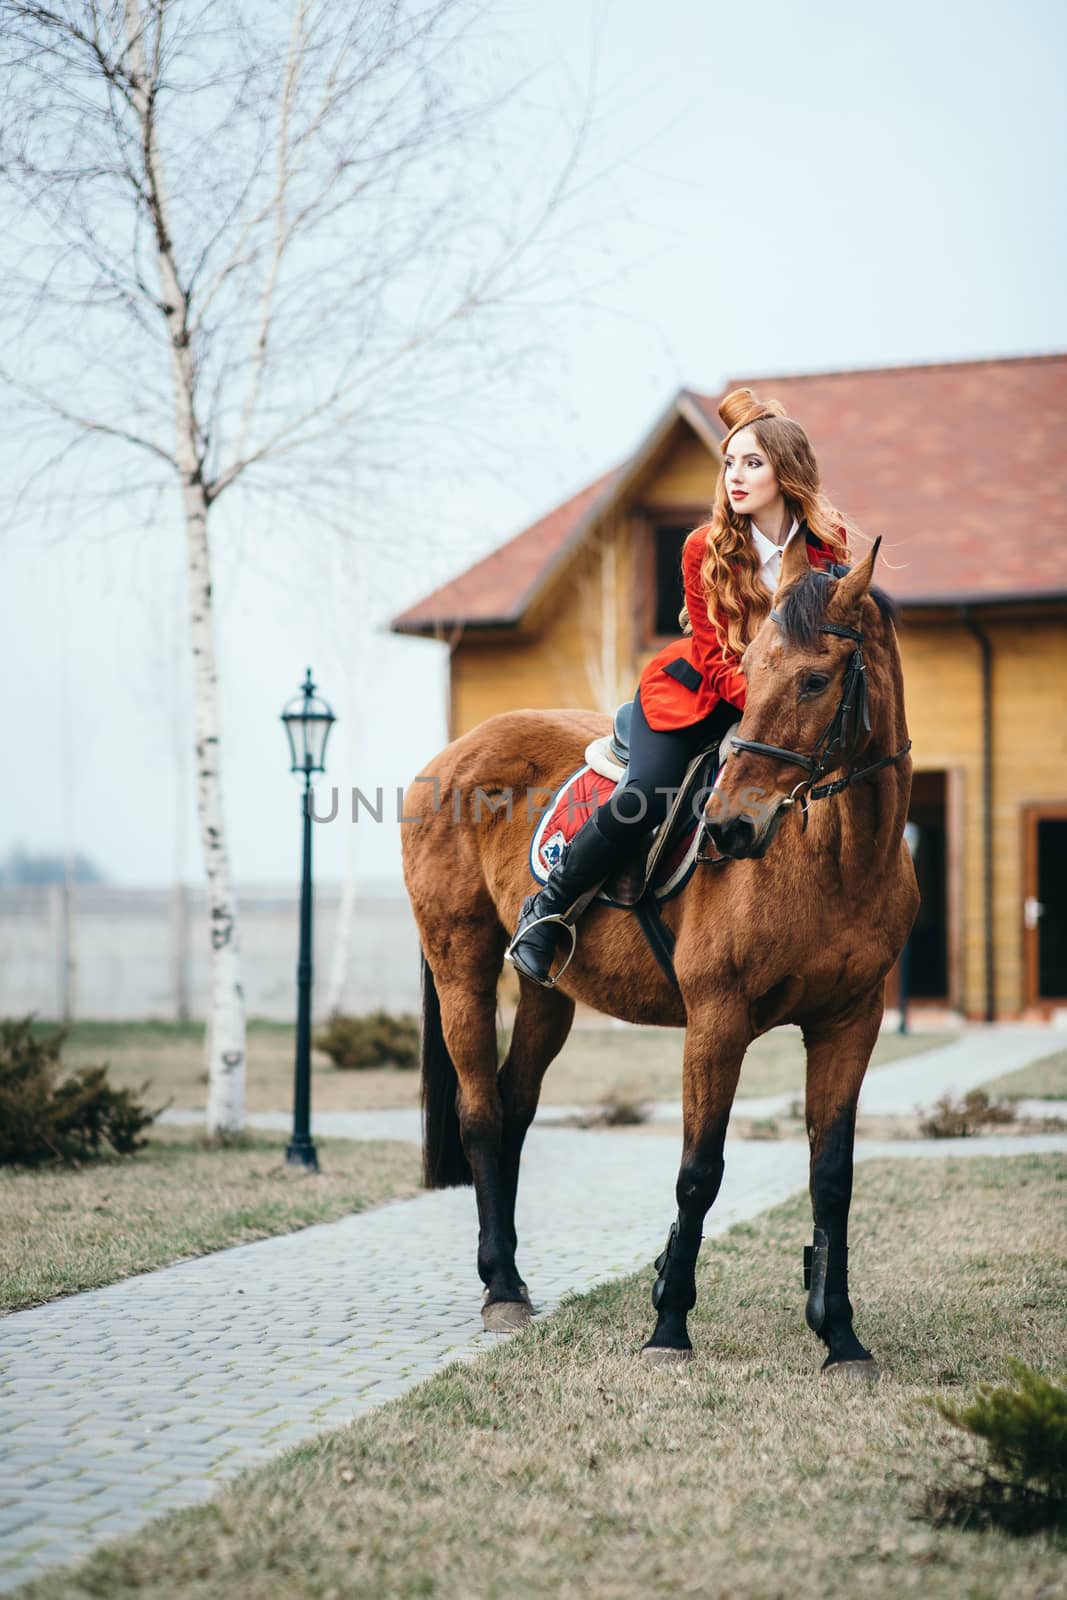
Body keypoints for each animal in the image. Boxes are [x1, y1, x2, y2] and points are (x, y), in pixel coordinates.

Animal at [399, 537, 921, 1376]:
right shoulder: (716, 1021)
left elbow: (831, 1176)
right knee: (480, 1113)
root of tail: (452, 754)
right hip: (460, 967)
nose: (730, 829)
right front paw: (667, 1325)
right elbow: (697, 1173)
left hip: (547, 993)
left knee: (514, 1107)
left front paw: (838, 1335)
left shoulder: (850, 1023)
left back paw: (508, 1274)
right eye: (754, 672)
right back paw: (501, 1291)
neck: (833, 858)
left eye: (813, 679)